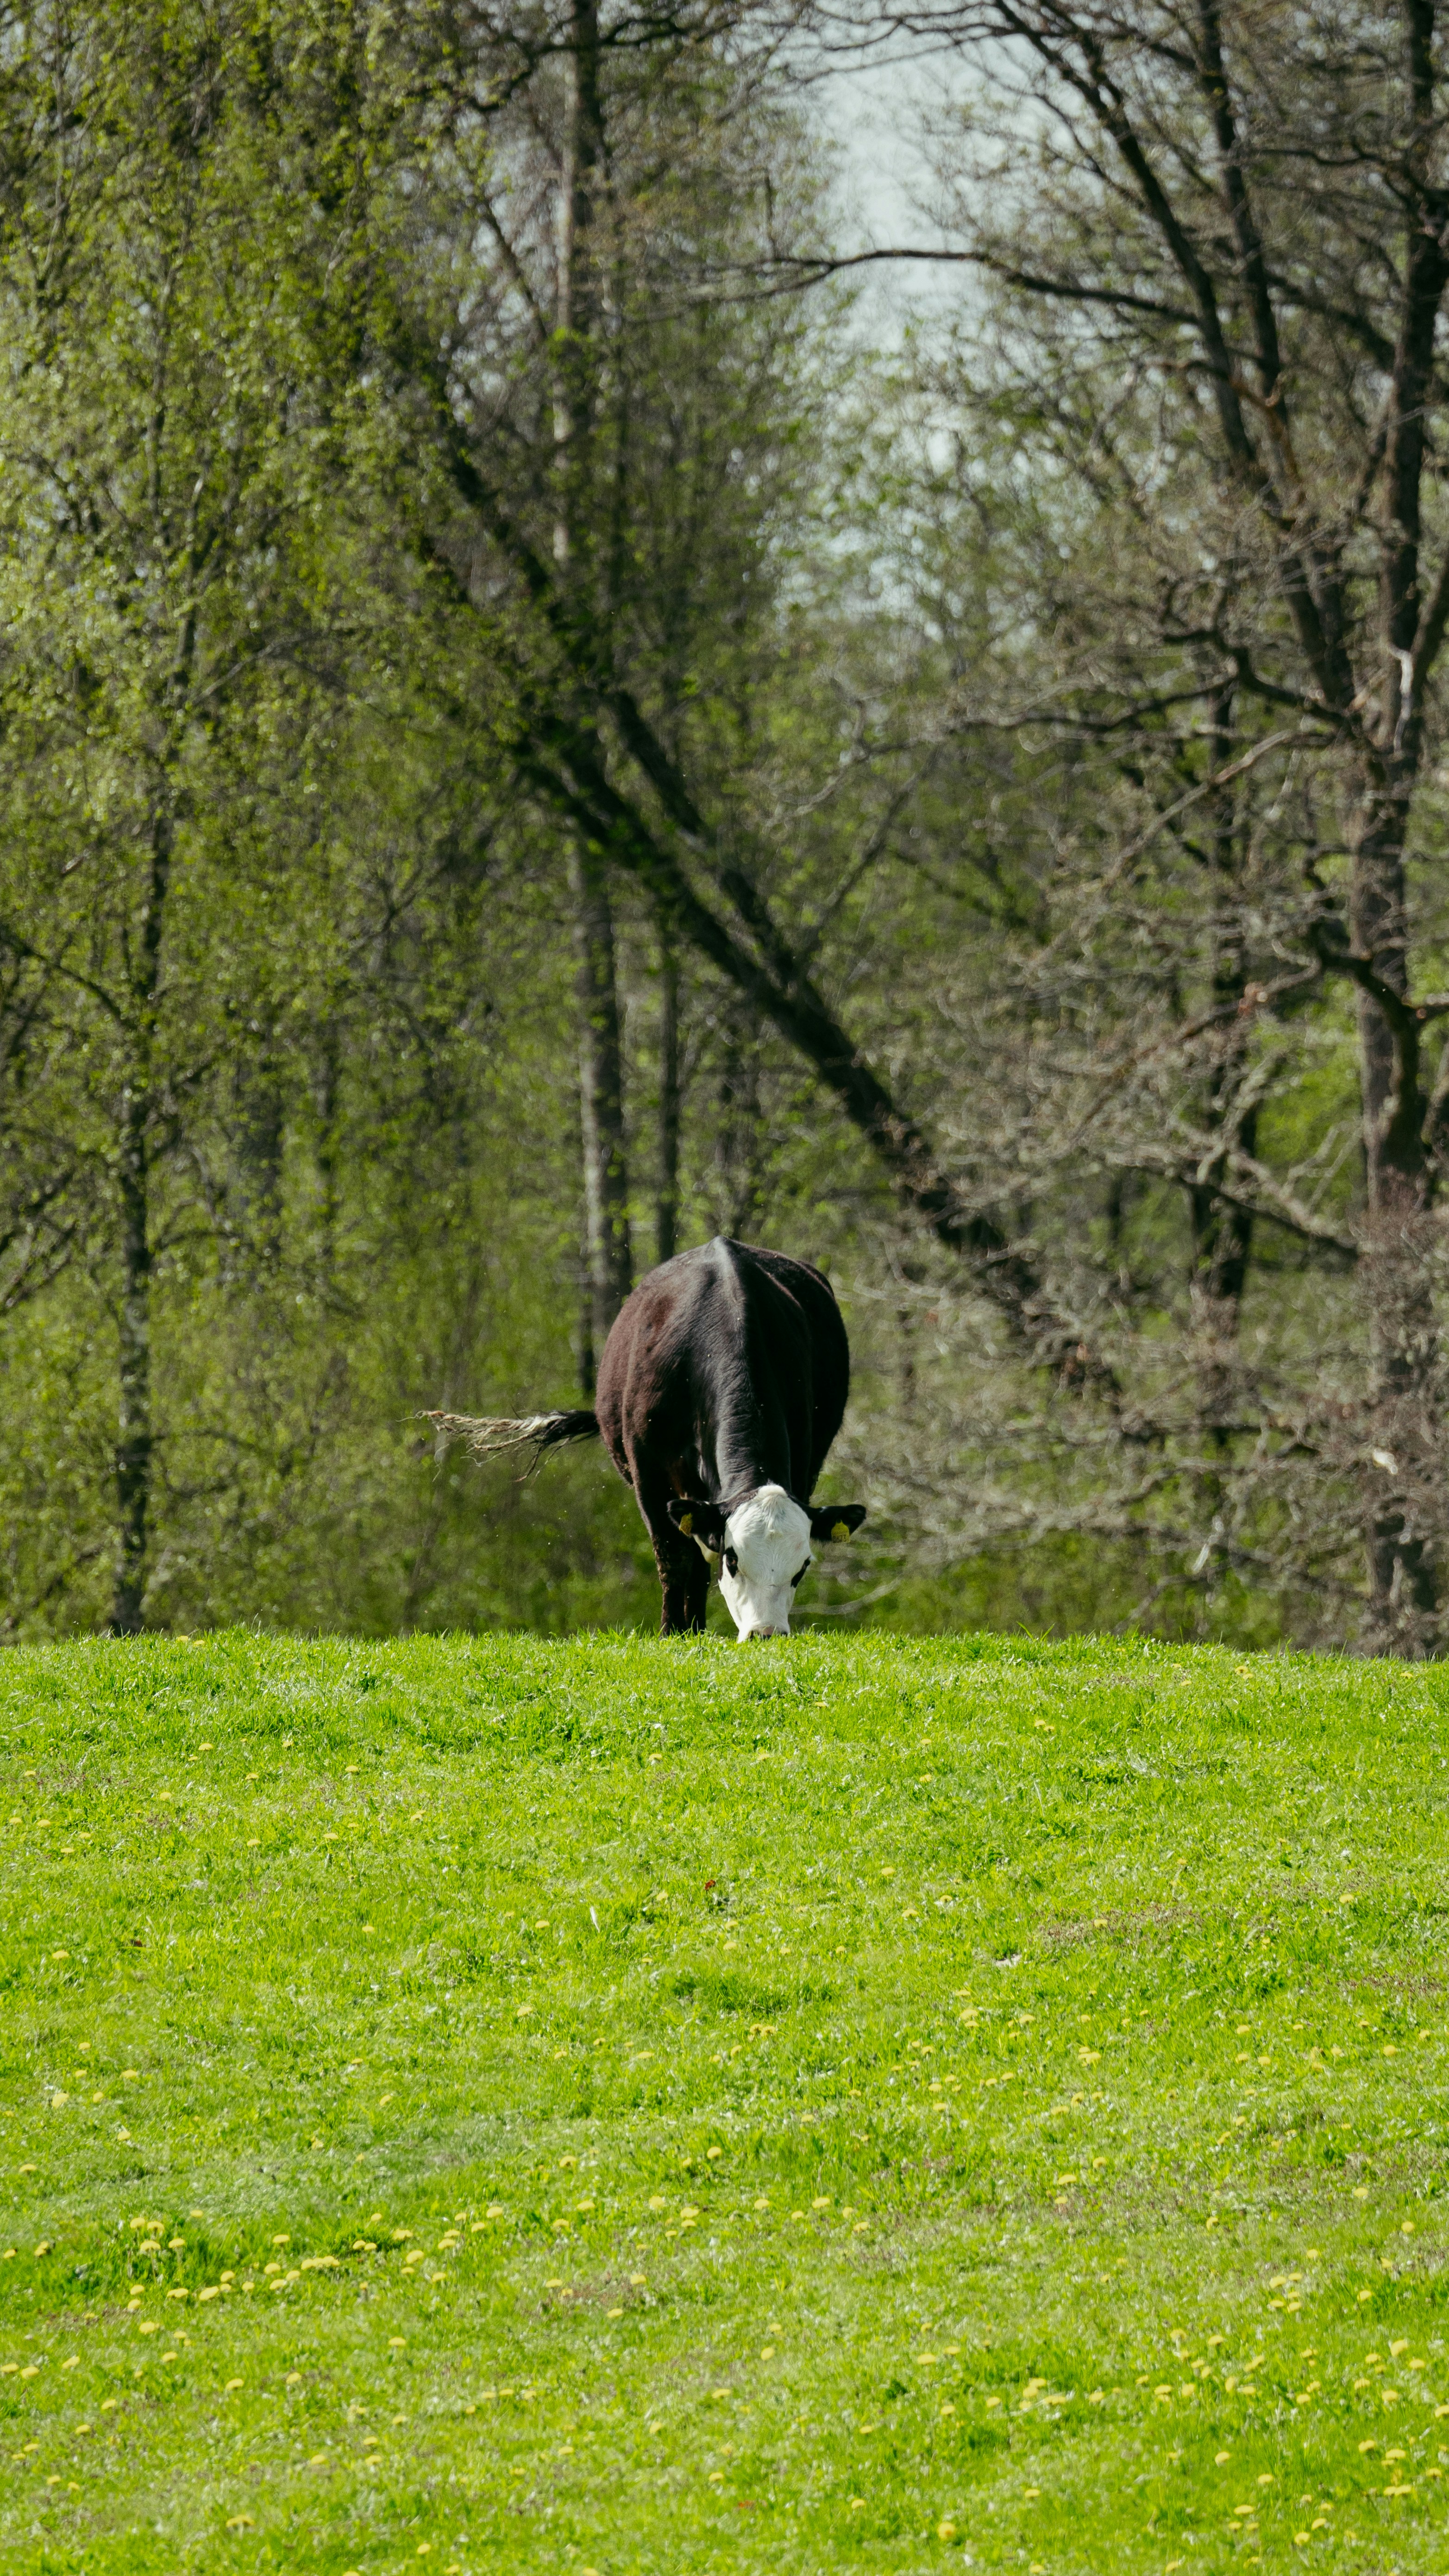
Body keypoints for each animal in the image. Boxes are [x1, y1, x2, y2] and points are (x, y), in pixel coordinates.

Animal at [430, 1236, 866, 1638]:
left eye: (803, 1566)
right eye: (733, 1558)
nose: (766, 1633)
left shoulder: (803, 1461)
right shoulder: (649, 1472)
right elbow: (674, 1556)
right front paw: (672, 1631)